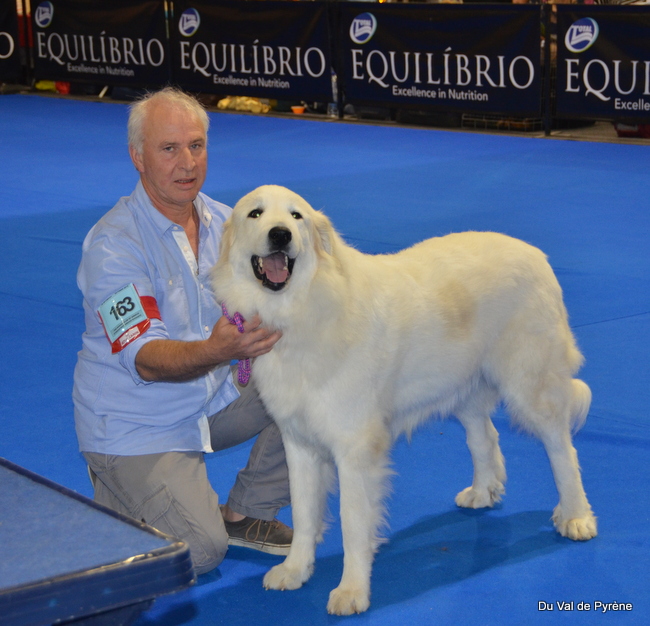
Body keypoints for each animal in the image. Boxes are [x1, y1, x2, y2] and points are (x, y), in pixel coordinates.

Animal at [211, 185, 592, 616]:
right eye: (256, 214)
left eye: (296, 217)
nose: (280, 235)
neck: (302, 308)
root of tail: (535, 253)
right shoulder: (299, 444)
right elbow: (305, 513)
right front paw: (295, 570)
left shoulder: (355, 450)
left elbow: (353, 523)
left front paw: (352, 591)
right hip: (465, 387)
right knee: (485, 437)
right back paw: (483, 492)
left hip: (530, 386)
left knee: (562, 450)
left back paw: (576, 517)